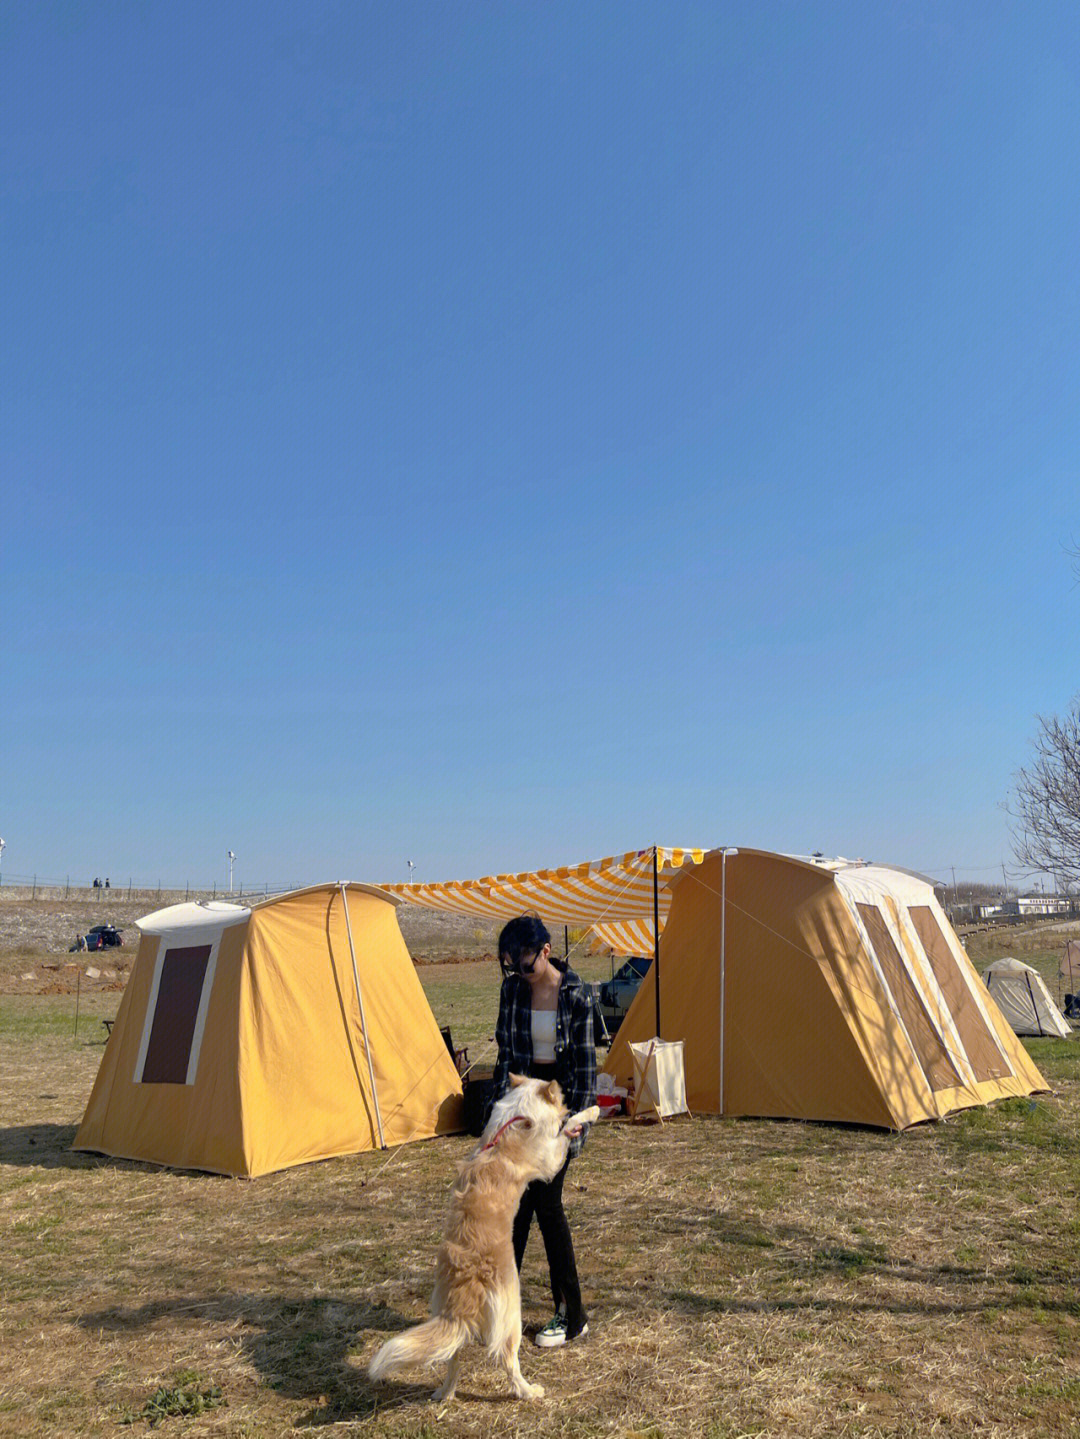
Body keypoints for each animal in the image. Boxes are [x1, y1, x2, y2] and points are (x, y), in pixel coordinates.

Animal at [368, 1076, 595, 1398]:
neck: (515, 1120)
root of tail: (465, 1289)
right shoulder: (549, 1160)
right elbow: (566, 1127)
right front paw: (591, 1112)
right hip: (511, 1314)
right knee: (507, 1359)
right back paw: (528, 1391)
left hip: (448, 1324)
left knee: (452, 1360)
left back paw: (445, 1393)